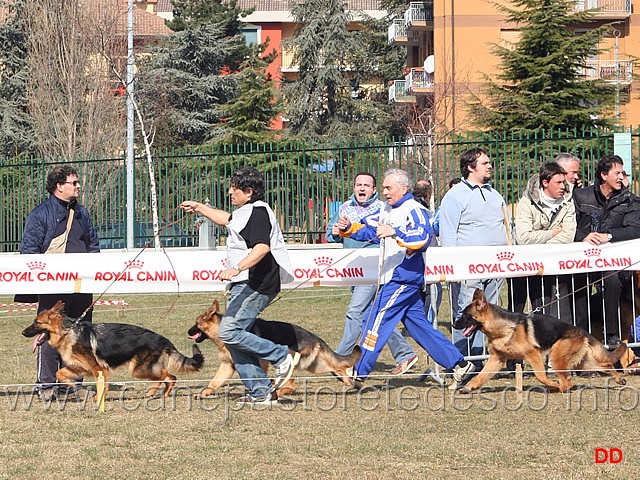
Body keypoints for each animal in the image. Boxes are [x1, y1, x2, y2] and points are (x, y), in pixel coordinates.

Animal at [23, 300, 202, 398]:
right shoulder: (79, 367)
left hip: (138, 369)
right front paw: (71, 385)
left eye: (37, 322)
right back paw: (155, 394)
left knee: (169, 376)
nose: (23, 332)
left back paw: (160, 394)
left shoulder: (98, 369)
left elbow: (103, 387)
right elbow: (59, 373)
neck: (67, 332)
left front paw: (97, 400)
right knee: (164, 377)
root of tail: (163, 339)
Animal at [188, 300, 362, 398]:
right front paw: (205, 392)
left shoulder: (260, 362)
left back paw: (277, 392)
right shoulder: (228, 365)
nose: (187, 332)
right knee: (337, 367)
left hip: (290, 361)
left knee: (291, 386)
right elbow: (215, 381)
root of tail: (313, 337)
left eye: (196, 323)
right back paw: (350, 381)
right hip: (316, 366)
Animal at [452, 286, 628, 392]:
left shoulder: (533, 354)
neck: (503, 329)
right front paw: (469, 387)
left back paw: (558, 387)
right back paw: (619, 380)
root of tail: (582, 331)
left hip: (557, 358)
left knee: (567, 382)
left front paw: (550, 383)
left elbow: (540, 376)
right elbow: (481, 375)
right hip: (582, 363)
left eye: (465, 316)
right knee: (606, 366)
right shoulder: (496, 359)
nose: (454, 324)